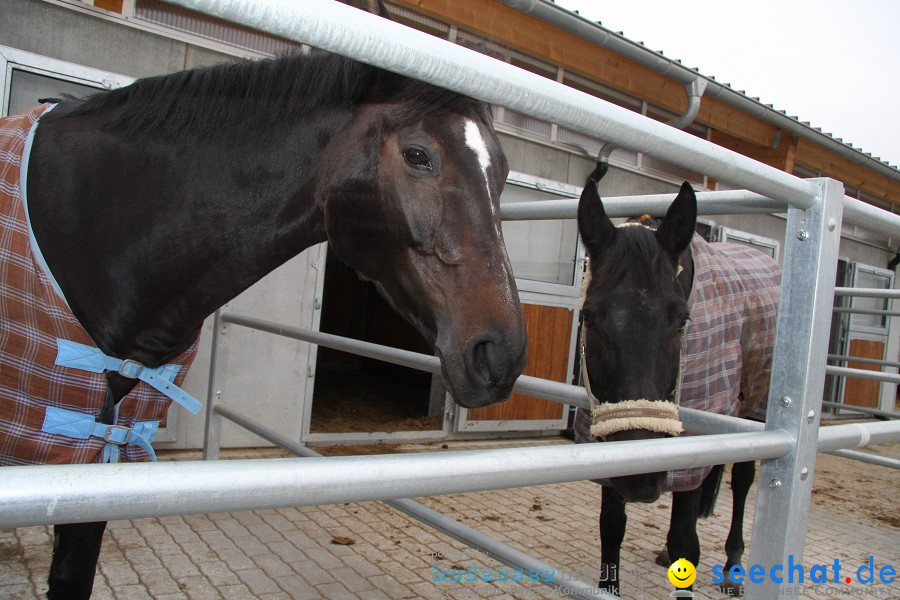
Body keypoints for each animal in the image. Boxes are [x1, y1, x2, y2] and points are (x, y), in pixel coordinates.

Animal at [576, 164, 780, 596]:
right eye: (588, 315)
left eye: (682, 319)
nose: (641, 475)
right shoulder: (608, 438)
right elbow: (611, 529)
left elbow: (686, 541)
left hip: (756, 408)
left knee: (742, 480)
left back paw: (733, 568)